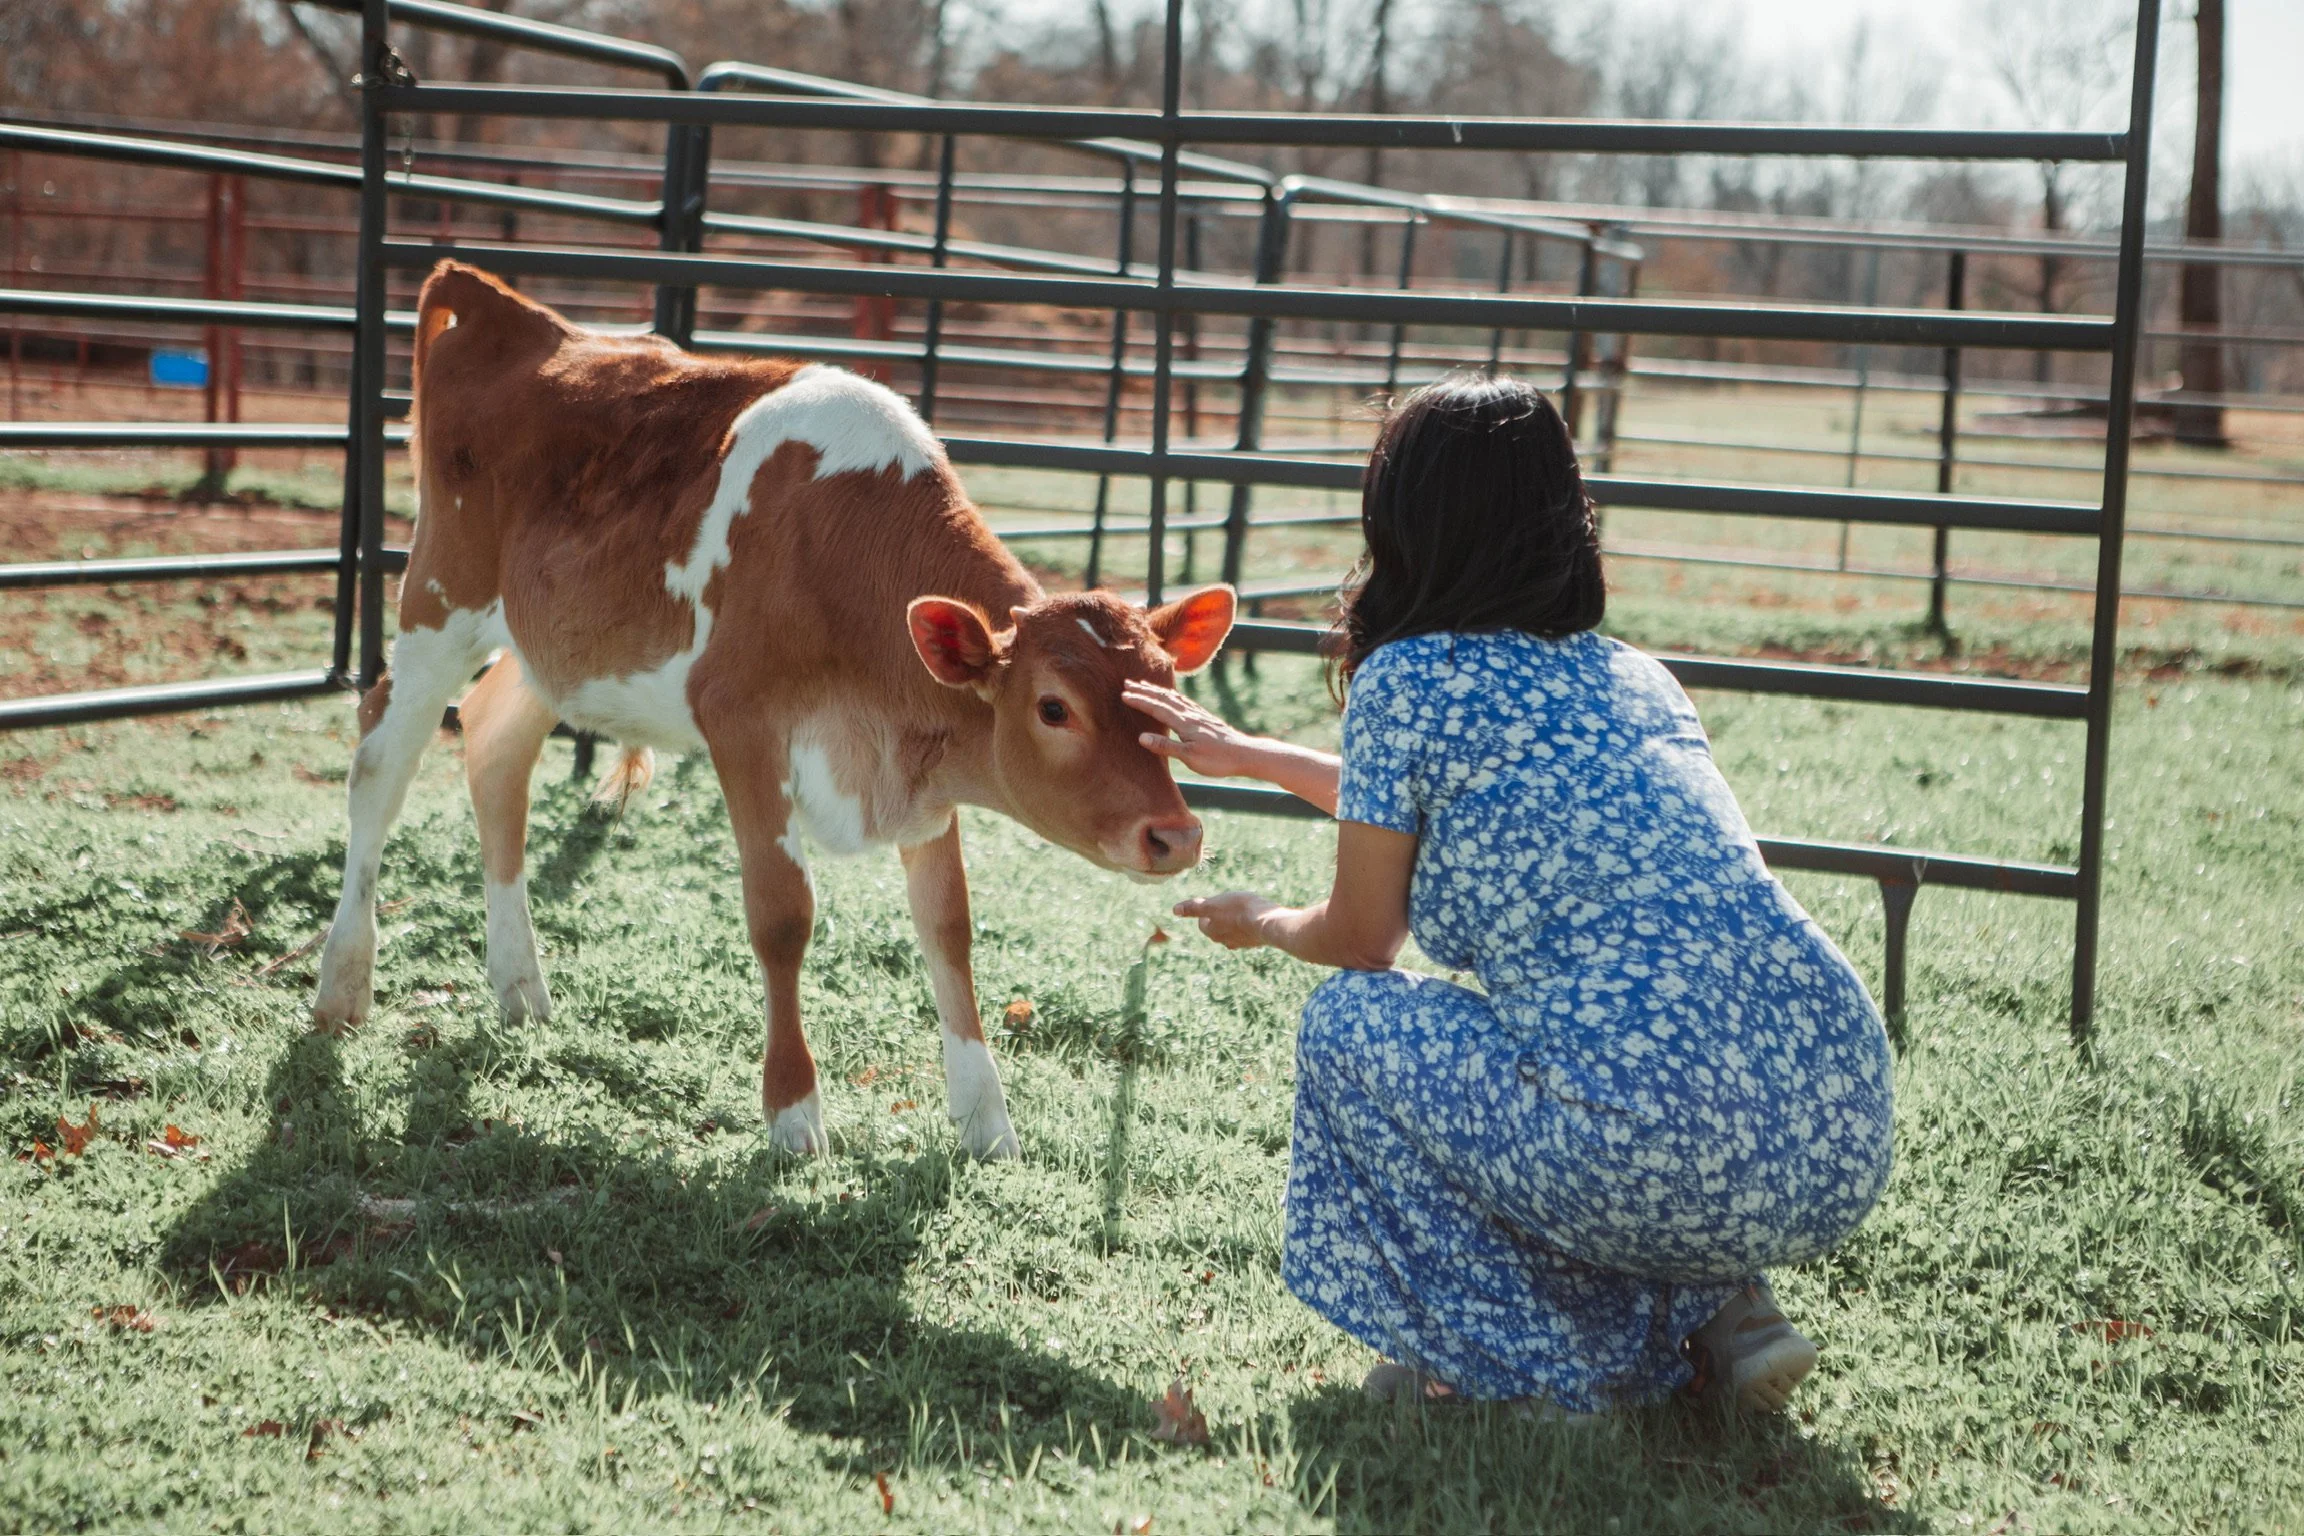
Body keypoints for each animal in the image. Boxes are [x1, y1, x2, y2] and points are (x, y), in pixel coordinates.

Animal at [310, 261, 1236, 1160]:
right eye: (1053, 708)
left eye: (1167, 692)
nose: (1176, 835)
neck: (846, 556)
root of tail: (513, 312)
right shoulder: (742, 725)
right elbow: (783, 916)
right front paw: (794, 1113)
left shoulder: (923, 767)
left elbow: (949, 927)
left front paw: (986, 1121)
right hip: (441, 596)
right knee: (379, 763)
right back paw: (342, 984)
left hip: (550, 650)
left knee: (497, 749)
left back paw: (519, 988)